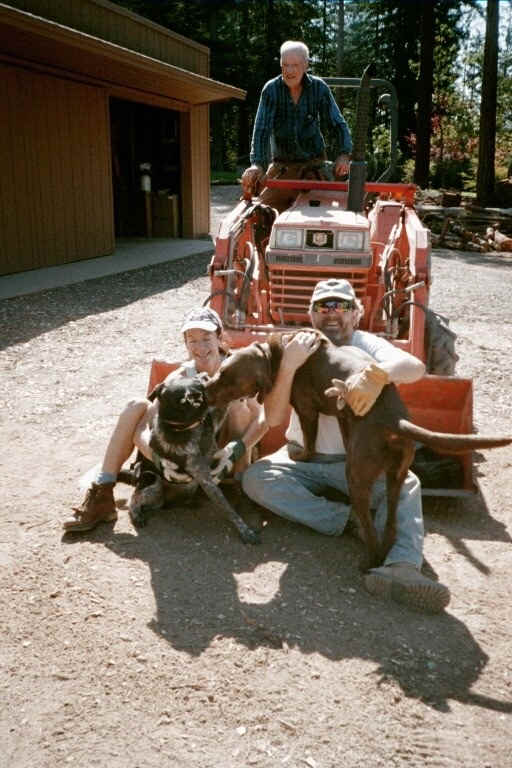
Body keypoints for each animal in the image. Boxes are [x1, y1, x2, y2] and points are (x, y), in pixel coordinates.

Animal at [119, 375, 260, 545]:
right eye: (181, 399)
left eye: (199, 385)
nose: (206, 376)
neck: (182, 427)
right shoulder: (205, 478)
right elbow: (227, 508)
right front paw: (245, 530)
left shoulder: (214, 420)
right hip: (153, 484)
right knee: (135, 497)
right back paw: (136, 514)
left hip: (161, 498)